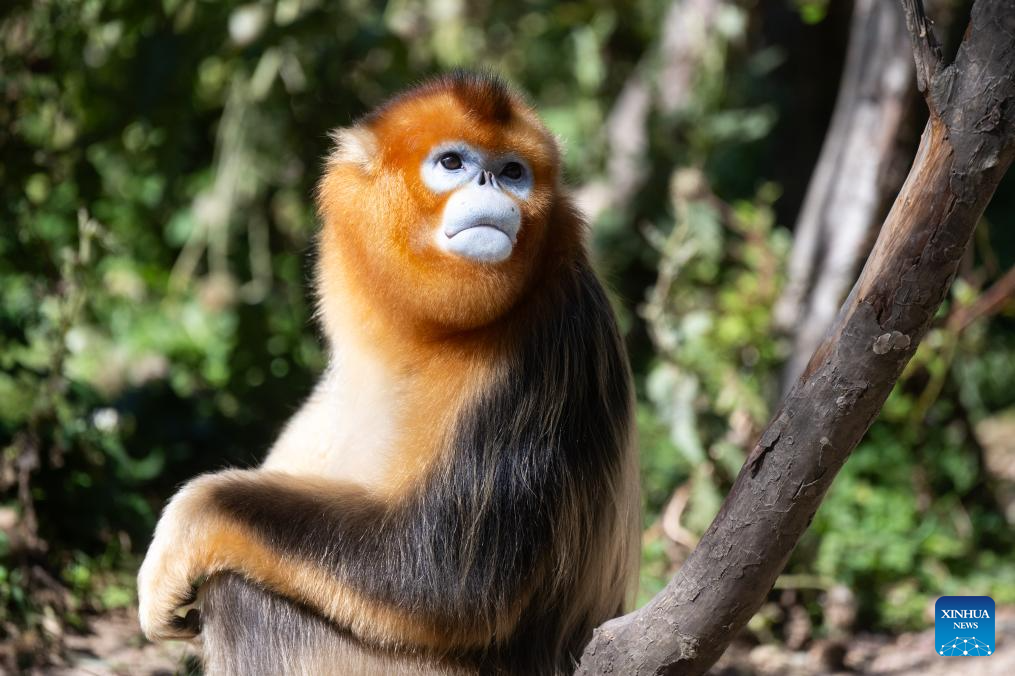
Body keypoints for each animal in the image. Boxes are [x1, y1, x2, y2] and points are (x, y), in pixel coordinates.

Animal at [139, 71, 637, 669]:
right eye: (453, 163)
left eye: (515, 171)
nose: (493, 182)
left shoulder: (546, 349)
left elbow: (441, 578)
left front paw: (183, 526)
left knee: (239, 594)